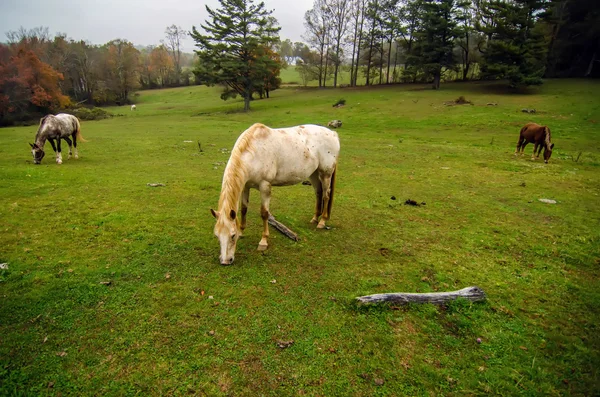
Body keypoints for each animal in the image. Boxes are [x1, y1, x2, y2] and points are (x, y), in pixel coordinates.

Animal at [213, 122, 340, 264]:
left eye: (232, 235)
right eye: (217, 235)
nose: (225, 261)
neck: (254, 152)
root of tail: (333, 134)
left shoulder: (265, 186)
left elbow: (264, 213)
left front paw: (263, 241)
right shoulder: (246, 186)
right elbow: (244, 209)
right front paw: (242, 231)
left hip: (325, 173)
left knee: (326, 195)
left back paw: (322, 222)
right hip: (313, 173)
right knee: (318, 193)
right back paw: (314, 219)